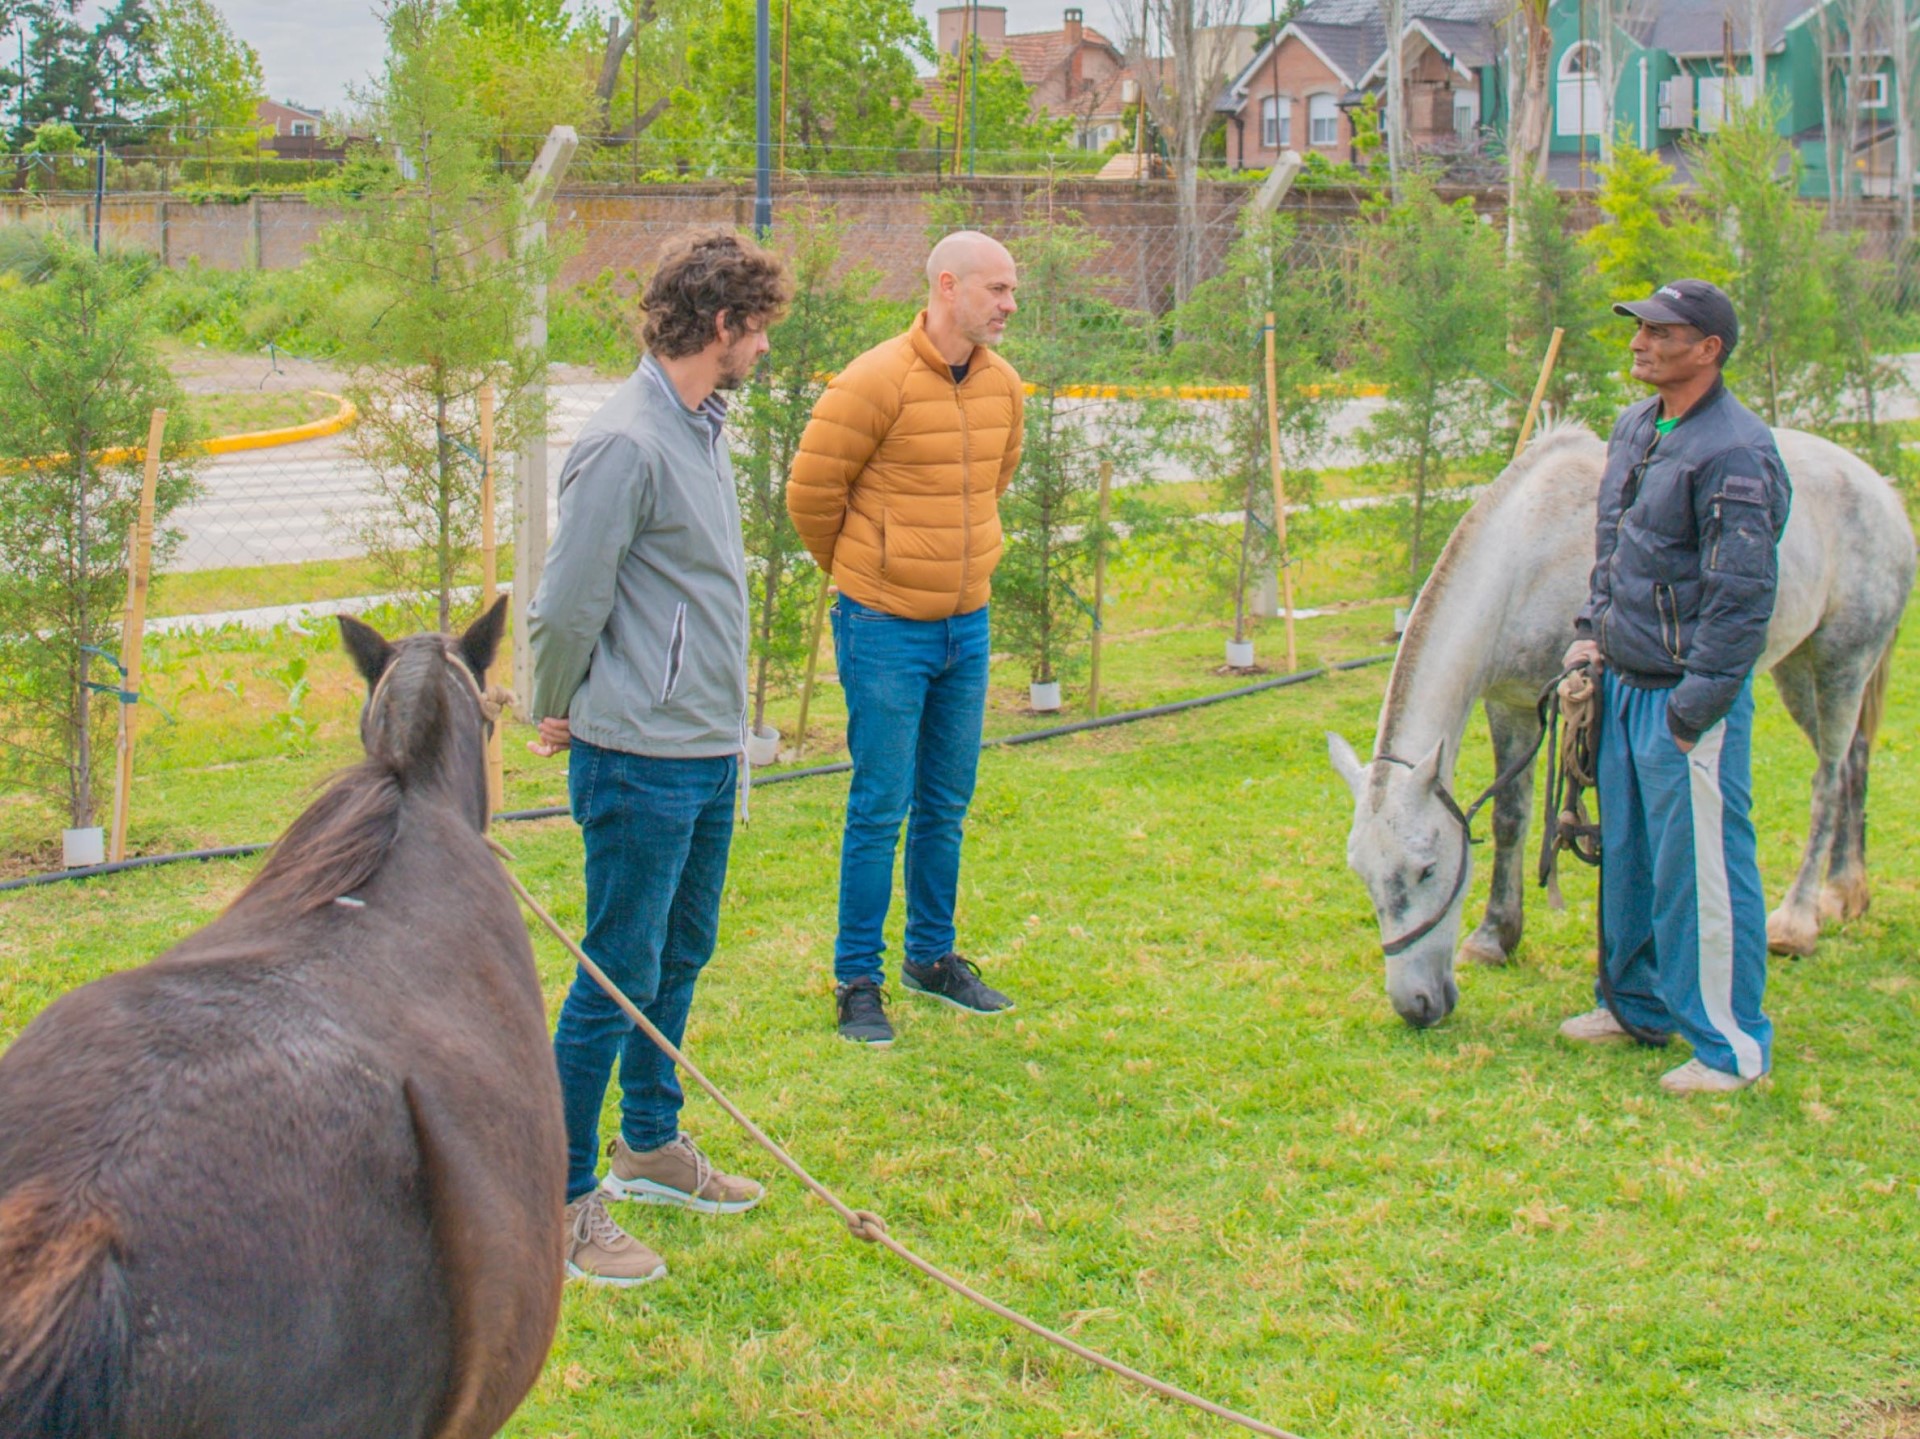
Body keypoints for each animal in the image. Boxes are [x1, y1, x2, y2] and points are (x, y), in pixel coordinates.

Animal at [1328, 420, 1912, 1029]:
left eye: (1425, 869)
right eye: (1362, 874)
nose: (1416, 1006)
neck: (1524, 565)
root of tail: (1882, 491)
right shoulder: (1513, 706)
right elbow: (1511, 818)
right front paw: (1495, 937)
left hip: (1841, 664)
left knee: (1828, 779)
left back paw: (1797, 921)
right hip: (1798, 671)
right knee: (1854, 761)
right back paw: (1845, 892)